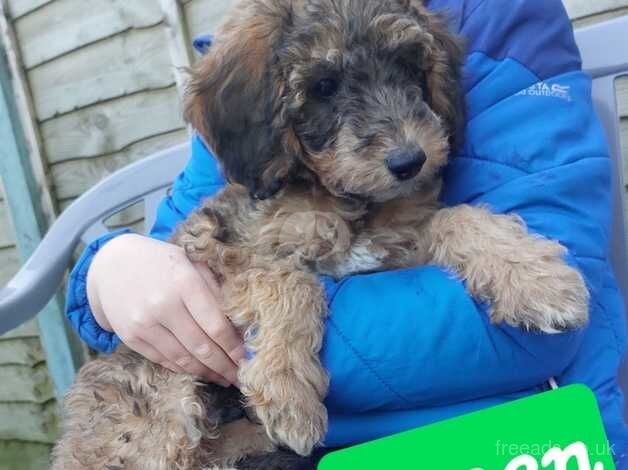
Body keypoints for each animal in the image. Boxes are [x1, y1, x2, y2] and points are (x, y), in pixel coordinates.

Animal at [50, 1, 588, 468]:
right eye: (325, 86)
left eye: (407, 65)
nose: (409, 161)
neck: (338, 197)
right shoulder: (219, 253)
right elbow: (291, 281)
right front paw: (288, 390)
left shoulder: (394, 246)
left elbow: (455, 217)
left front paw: (537, 279)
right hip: (156, 417)